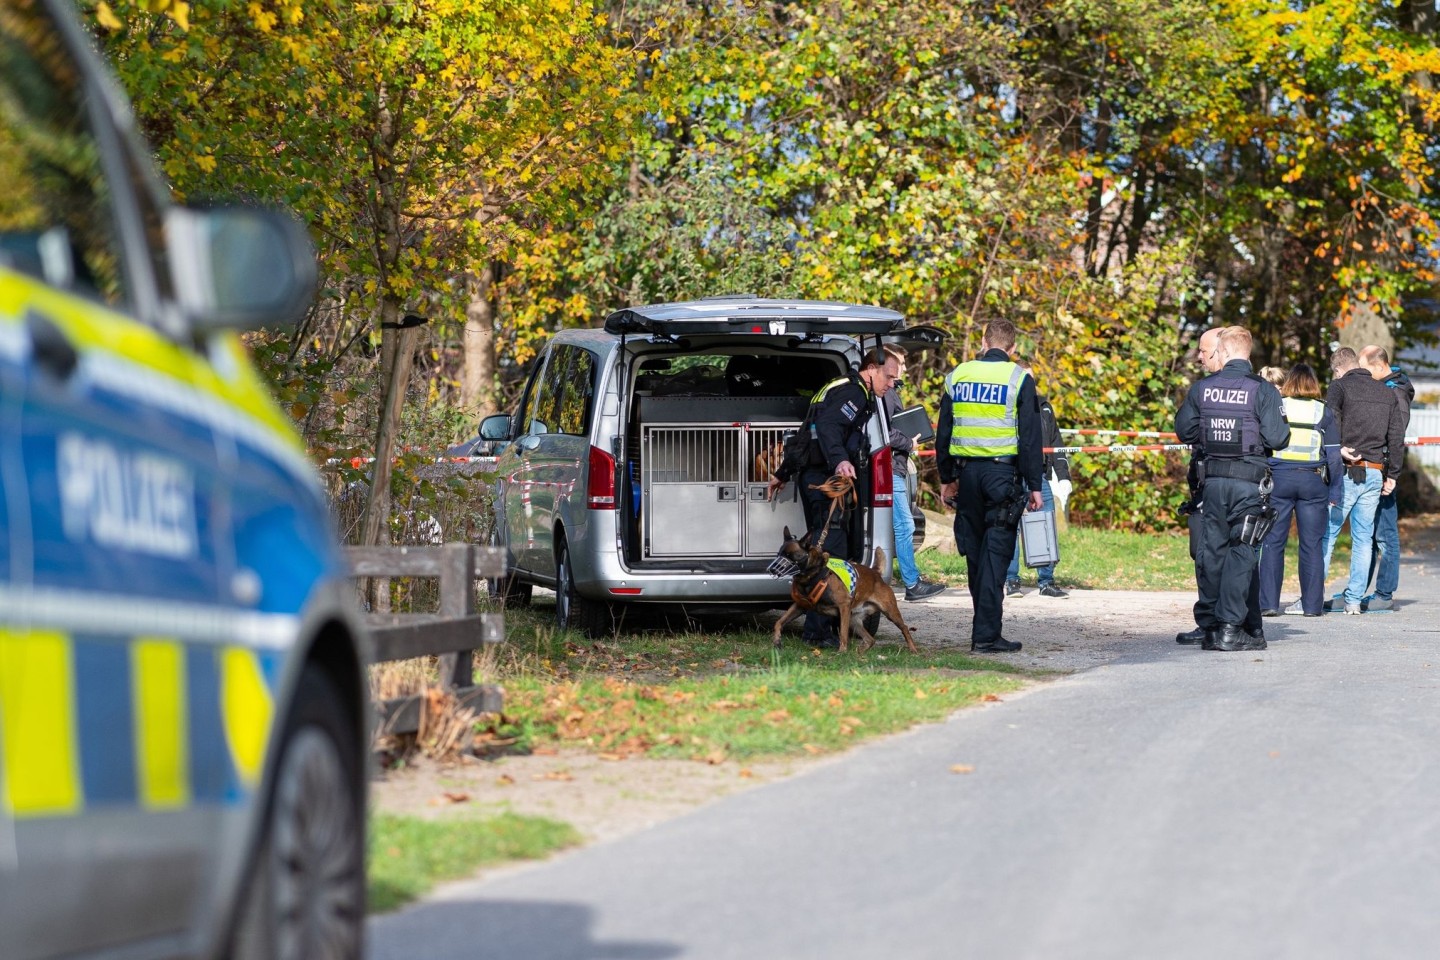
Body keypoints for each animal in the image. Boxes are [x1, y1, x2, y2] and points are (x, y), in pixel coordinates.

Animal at [771, 526, 915, 653]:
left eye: (790, 555)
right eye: (779, 554)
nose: (772, 569)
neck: (814, 574)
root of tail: (875, 573)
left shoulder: (843, 607)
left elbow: (843, 634)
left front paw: (842, 651)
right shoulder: (799, 606)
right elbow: (778, 622)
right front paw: (777, 640)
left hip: (890, 612)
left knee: (905, 628)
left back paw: (913, 649)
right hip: (854, 621)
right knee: (870, 639)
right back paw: (859, 653)